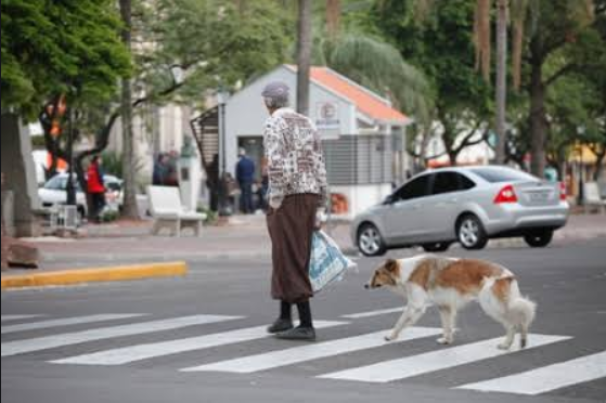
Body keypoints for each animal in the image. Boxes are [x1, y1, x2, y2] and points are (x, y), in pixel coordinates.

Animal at [366, 258, 536, 352]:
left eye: (377, 273)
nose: (365, 286)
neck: (406, 271)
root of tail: (508, 275)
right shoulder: (444, 307)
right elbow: (447, 326)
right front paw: (446, 340)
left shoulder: (416, 305)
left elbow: (400, 321)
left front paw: (391, 336)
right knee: (521, 320)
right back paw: (523, 342)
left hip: (491, 306)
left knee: (512, 324)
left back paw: (506, 345)